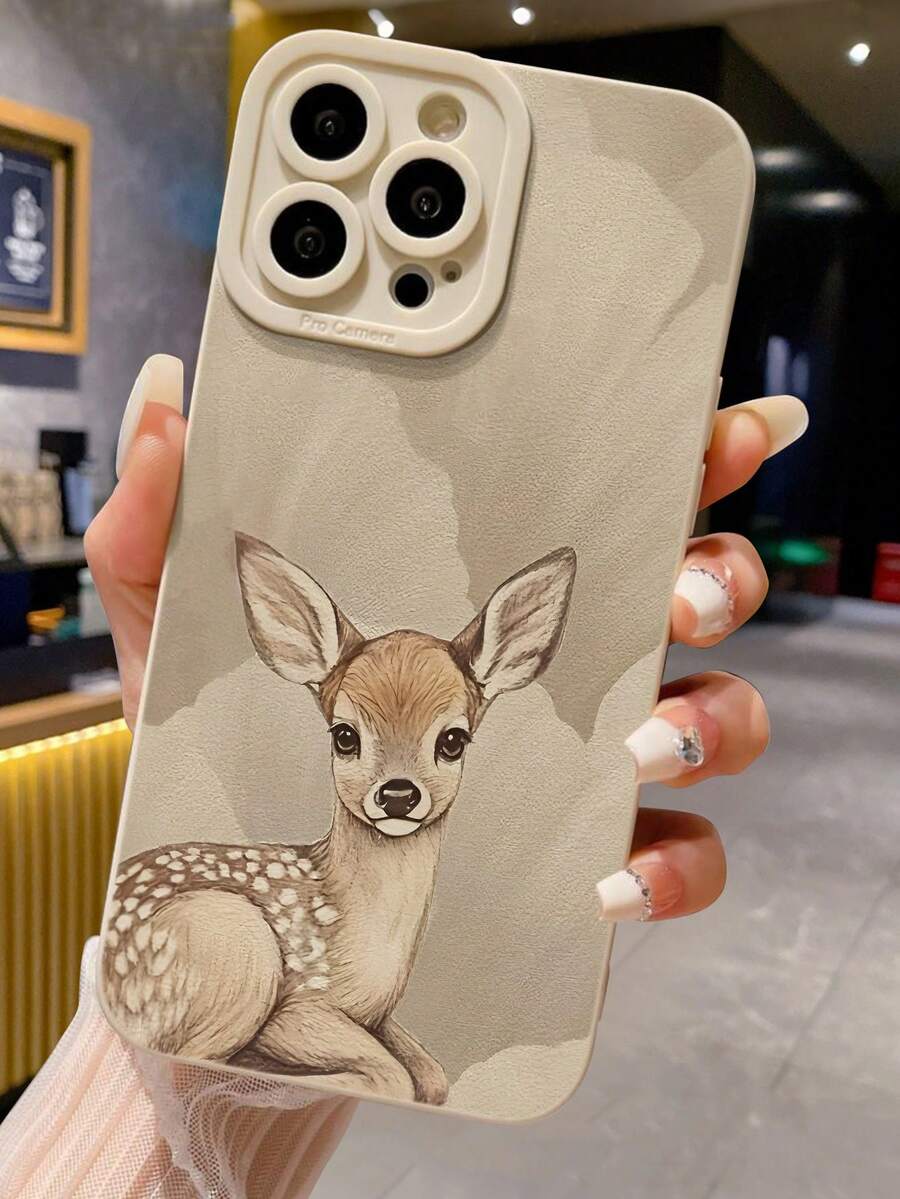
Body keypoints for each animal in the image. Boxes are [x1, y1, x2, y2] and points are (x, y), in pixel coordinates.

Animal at [102, 533, 576, 1105]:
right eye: (344, 735)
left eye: (453, 739)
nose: (398, 794)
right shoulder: (298, 1004)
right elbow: (395, 1077)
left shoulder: (380, 1019)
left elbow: (432, 1075)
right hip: (230, 945)